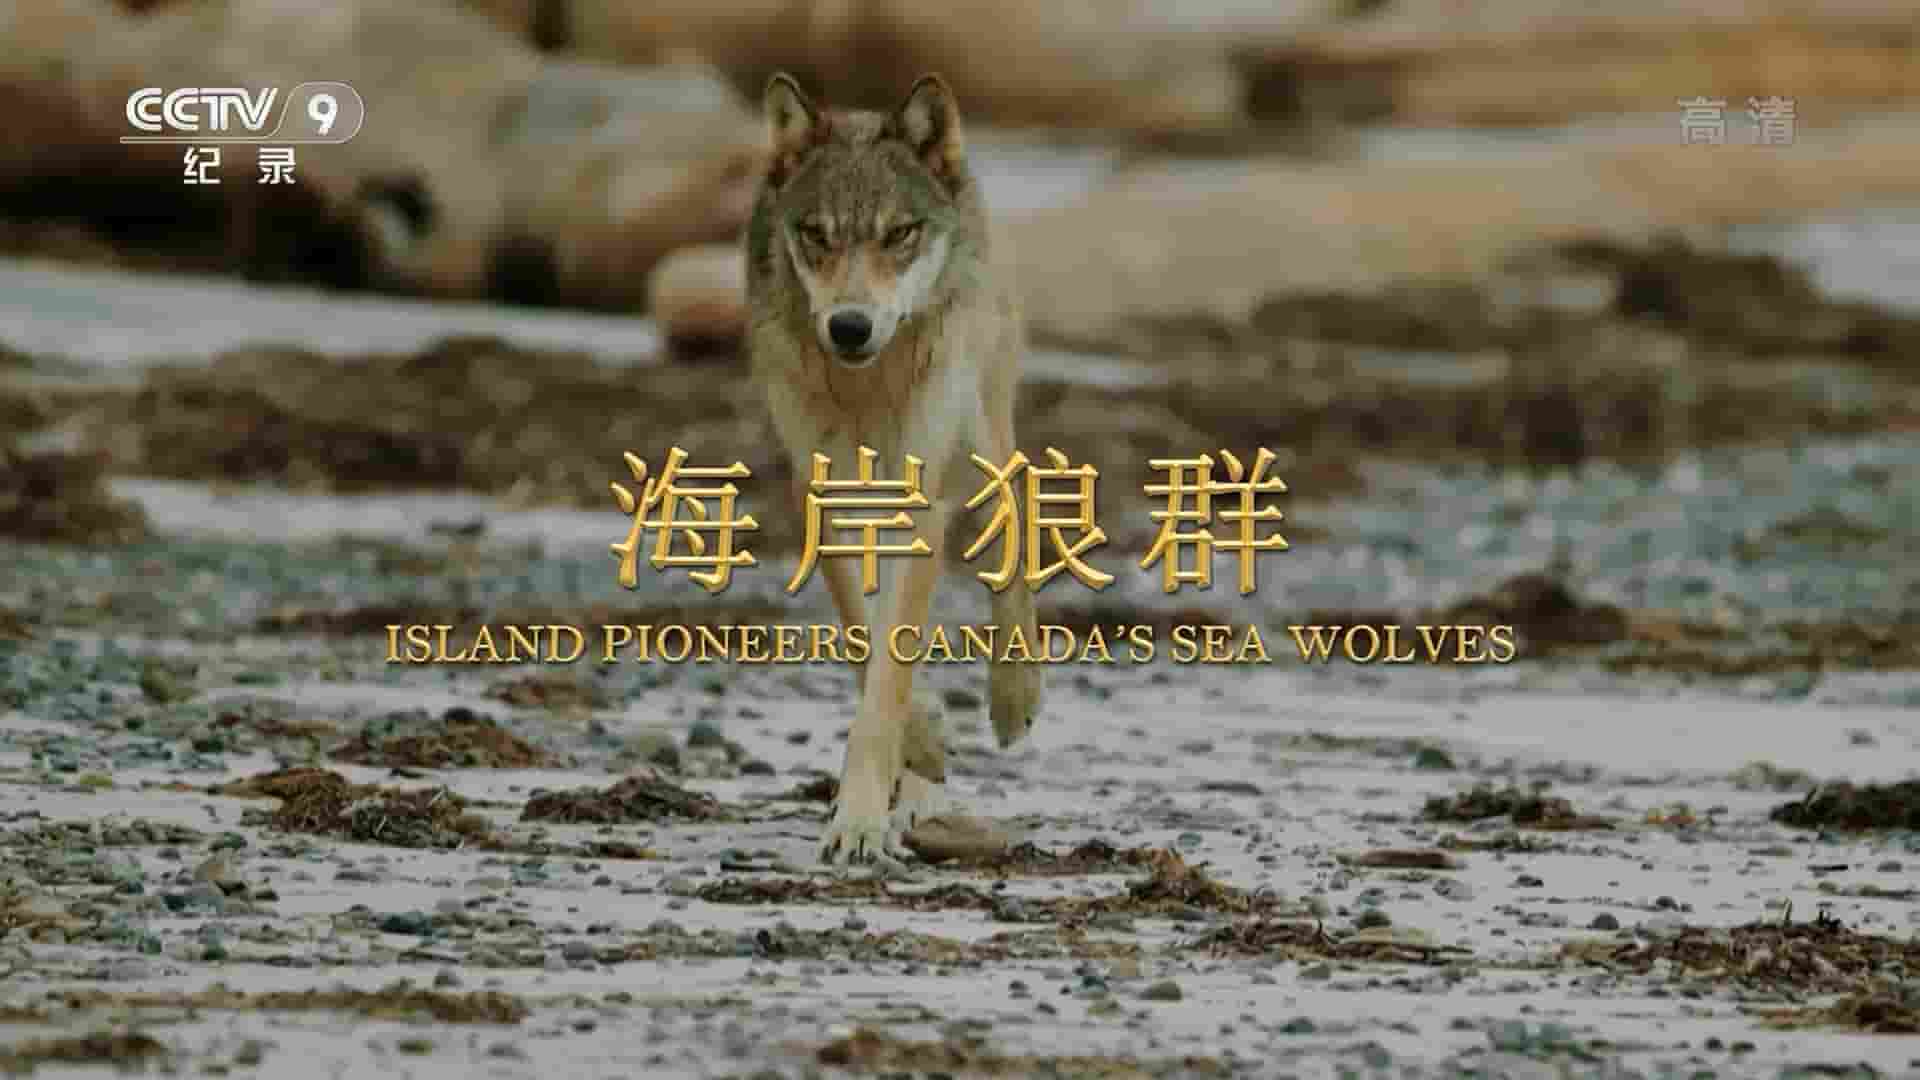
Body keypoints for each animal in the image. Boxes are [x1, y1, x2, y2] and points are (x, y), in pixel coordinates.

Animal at [744, 72, 1045, 864]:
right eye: (816, 235)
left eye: (898, 234)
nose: (850, 327)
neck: (866, 386)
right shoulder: (820, 494)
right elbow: (866, 640)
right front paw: (918, 757)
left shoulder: (923, 504)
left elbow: (887, 675)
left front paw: (858, 822)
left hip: (982, 428)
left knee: (1017, 508)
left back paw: (1017, 698)